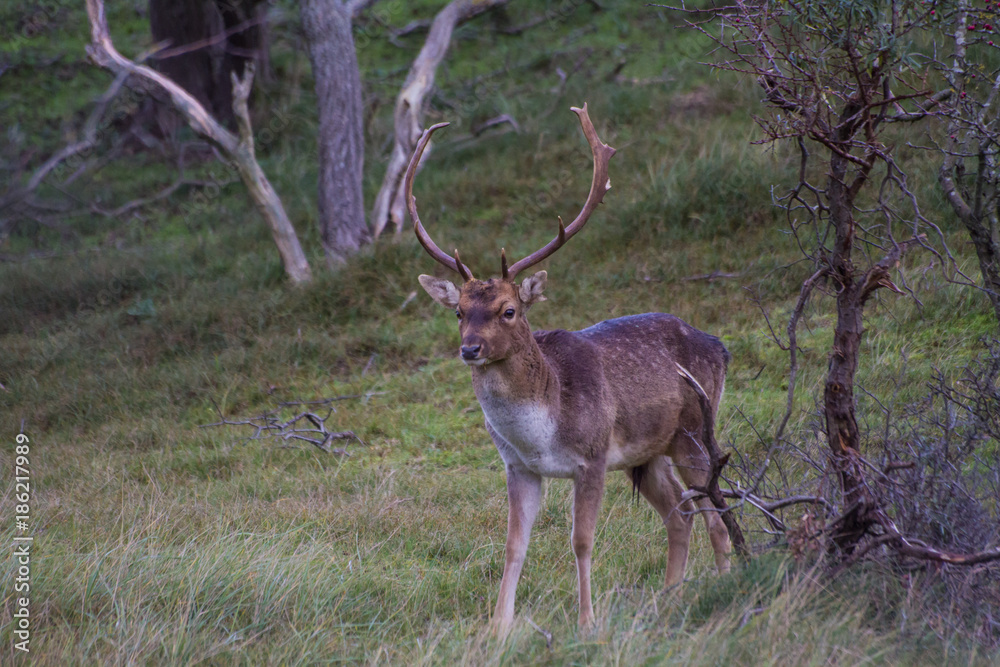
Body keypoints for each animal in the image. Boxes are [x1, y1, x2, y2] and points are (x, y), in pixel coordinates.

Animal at [407, 104, 733, 635]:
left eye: (508, 310)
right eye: (458, 311)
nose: (470, 349)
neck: (543, 426)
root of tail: (721, 347)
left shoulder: (593, 456)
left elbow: (581, 541)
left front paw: (586, 623)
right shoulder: (518, 467)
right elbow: (513, 546)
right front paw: (497, 630)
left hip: (693, 431)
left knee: (715, 513)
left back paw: (724, 585)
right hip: (649, 453)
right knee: (679, 515)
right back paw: (668, 599)